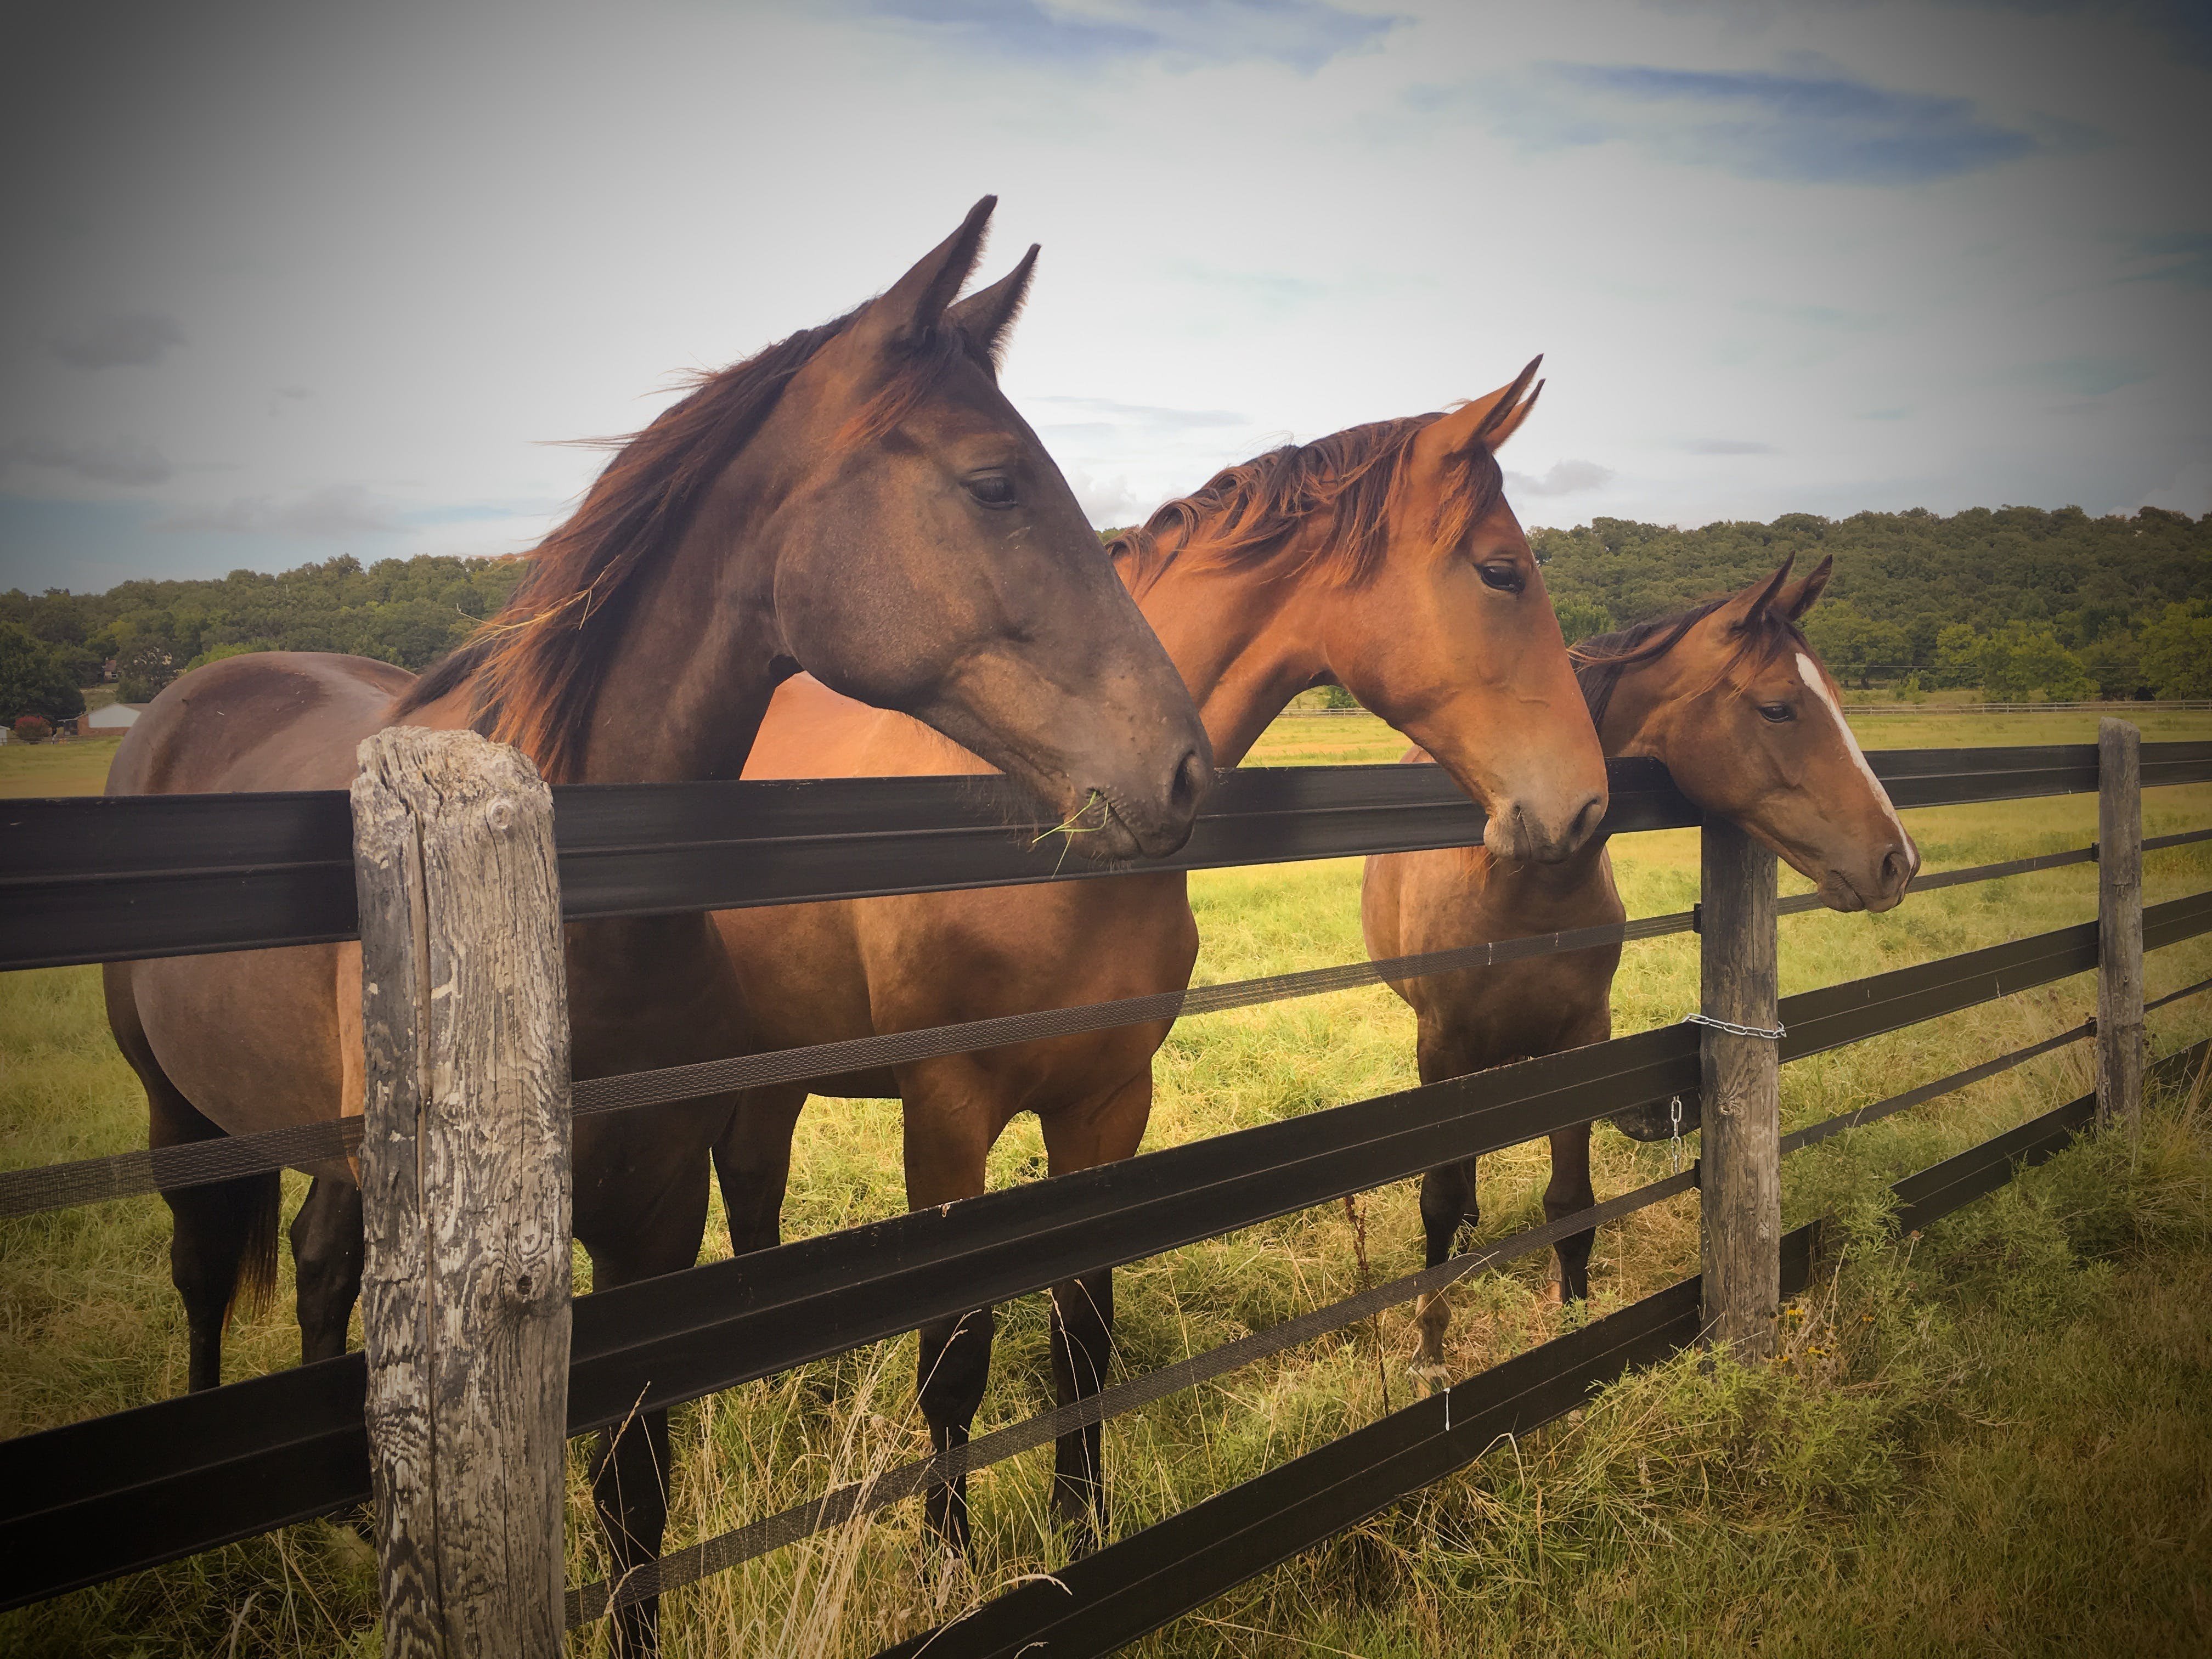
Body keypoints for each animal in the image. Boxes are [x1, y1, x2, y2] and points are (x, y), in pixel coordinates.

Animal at [104, 201, 1212, 1654]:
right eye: (994, 484)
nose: (1185, 770)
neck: (574, 917)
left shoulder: (654, 1214)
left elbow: (636, 1488)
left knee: (316, 1265)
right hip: (180, 1115)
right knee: (197, 1276)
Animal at [712, 360, 1610, 1557]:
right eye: (1500, 571)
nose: (1588, 805)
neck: (1046, 825)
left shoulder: (1107, 1103)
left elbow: (1082, 1334)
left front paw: (1081, 1527)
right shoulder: (945, 1114)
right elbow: (954, 1351)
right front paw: (949, 1557)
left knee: (753, 1193)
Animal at [1353, 560, 1911, 1380]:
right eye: (1777, 708)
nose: (1898, 860)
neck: (1515, 884)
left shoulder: (1583, 1040)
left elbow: (1570, 1204)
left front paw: (1574, 1328)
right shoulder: (1442, 1044)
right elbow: (1437, 1198)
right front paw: (1429, 1347)